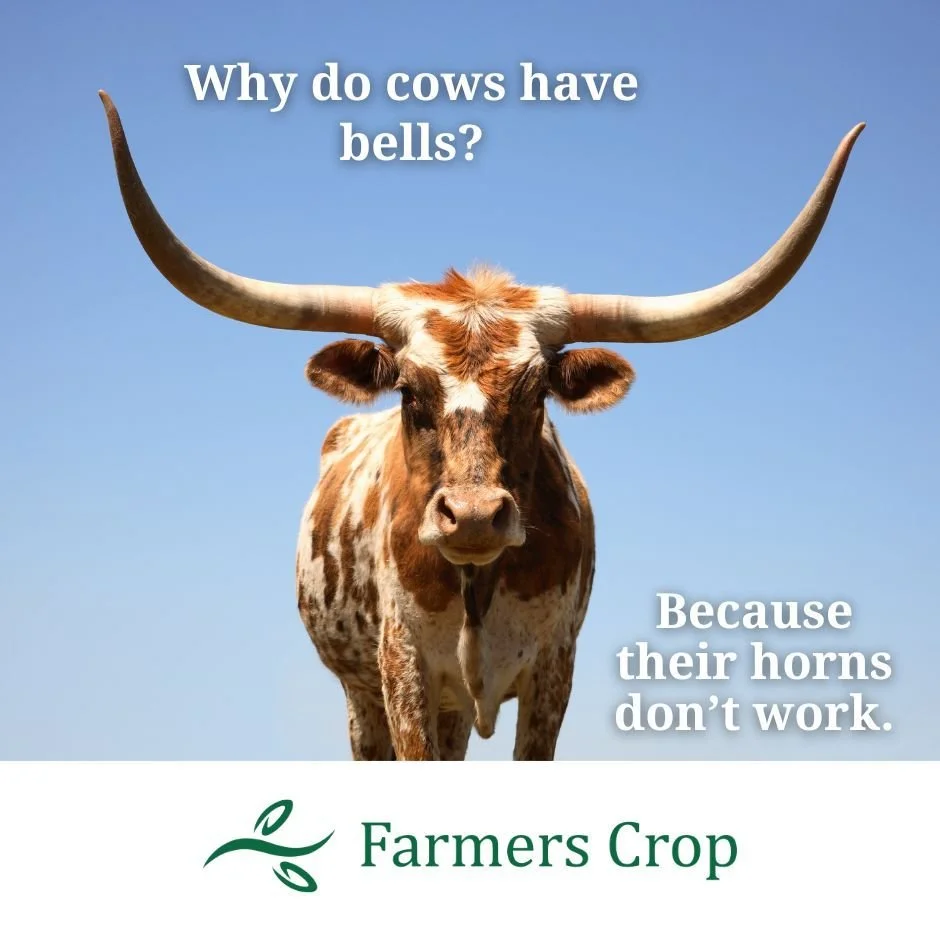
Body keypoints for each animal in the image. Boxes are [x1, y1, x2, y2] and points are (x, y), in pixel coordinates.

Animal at [98, 91, 864, 760]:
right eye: (408, 391)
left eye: (536, 393)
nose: (471, 516)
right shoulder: (402, 669)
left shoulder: (553, 670)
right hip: (364, 700)